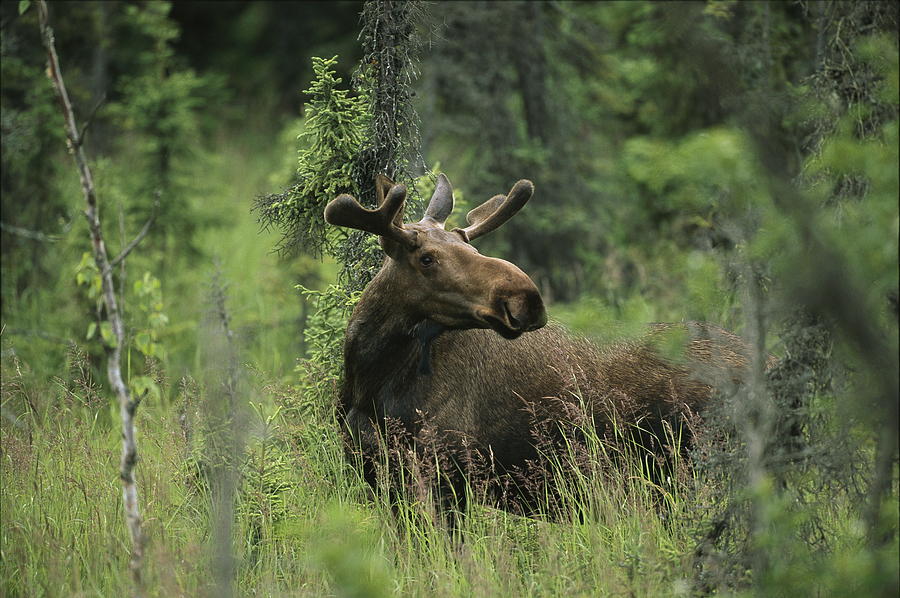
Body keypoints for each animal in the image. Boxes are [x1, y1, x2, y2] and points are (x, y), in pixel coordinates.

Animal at [324, 173, 755, 521]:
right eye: (427, 259)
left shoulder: (451, 472)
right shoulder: (380, 474)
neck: (371, 380)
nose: (526, 299)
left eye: (475, 251)